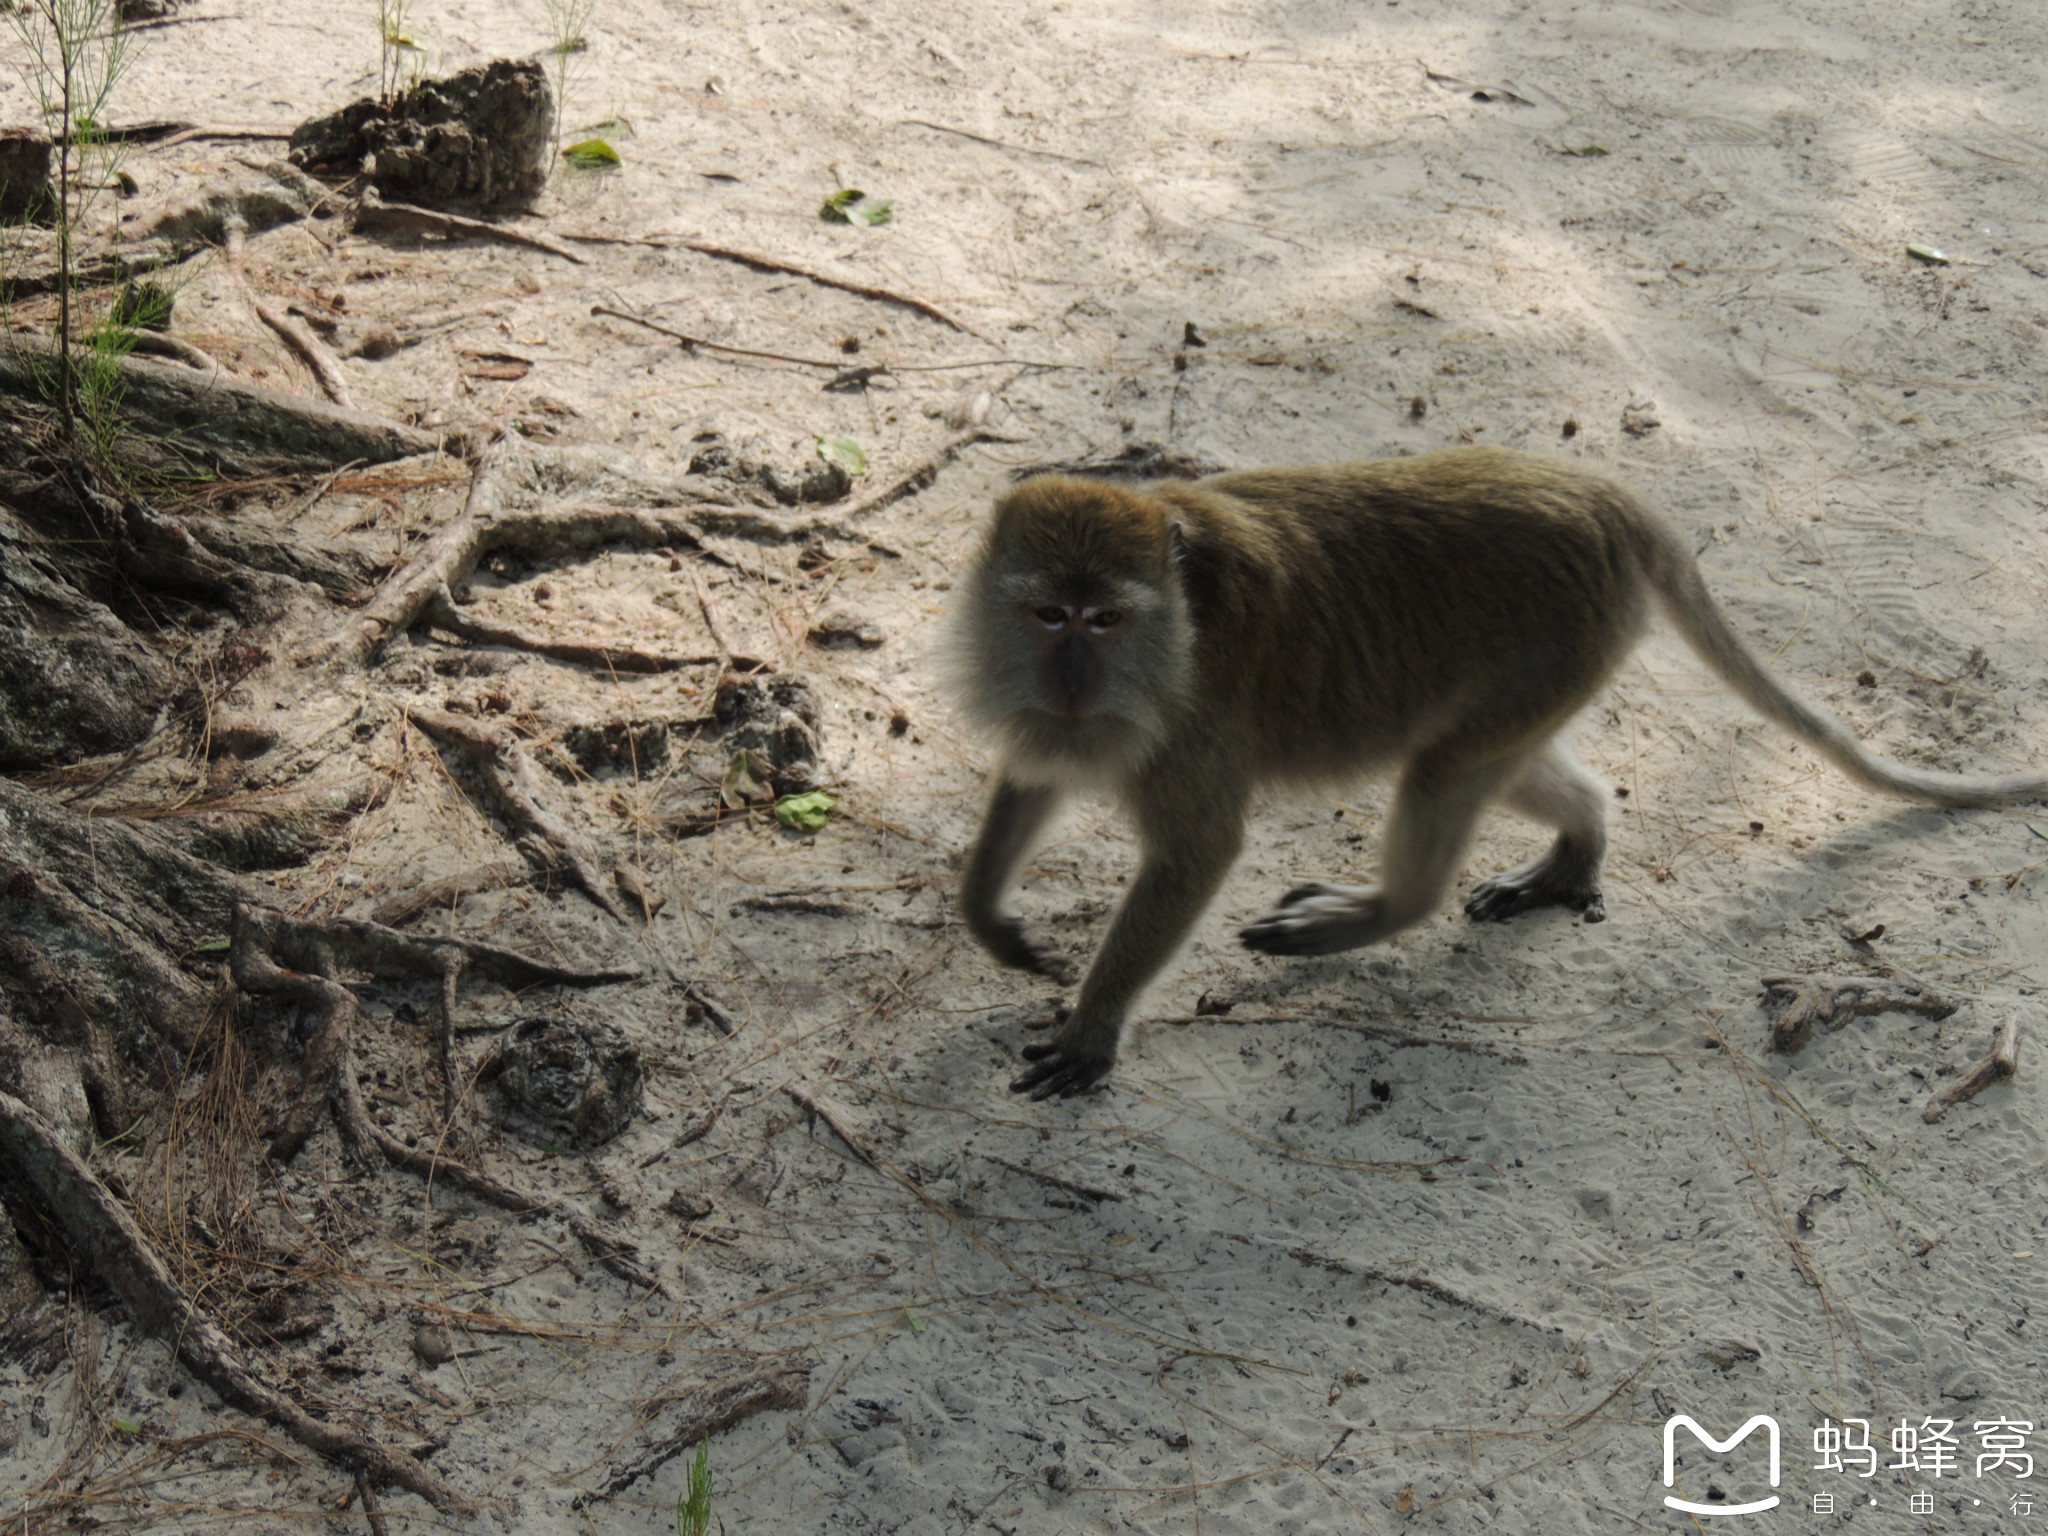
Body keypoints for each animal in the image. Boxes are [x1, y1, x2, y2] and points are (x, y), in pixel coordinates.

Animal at [946, 450, 2048, 1097]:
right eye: (1049, 615)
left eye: (1105, 619)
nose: (1074, 678)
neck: (1172, 621)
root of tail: (1602, 495)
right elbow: (1035, 775)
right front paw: (988, 917)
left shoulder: (1189, 722)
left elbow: (1198, 850)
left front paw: (1094, 1028)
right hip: (1561, 658)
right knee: (1481, 761)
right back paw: (1575, 847)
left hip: (1558, 640)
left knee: (1442, 768)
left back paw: (1382, 911)